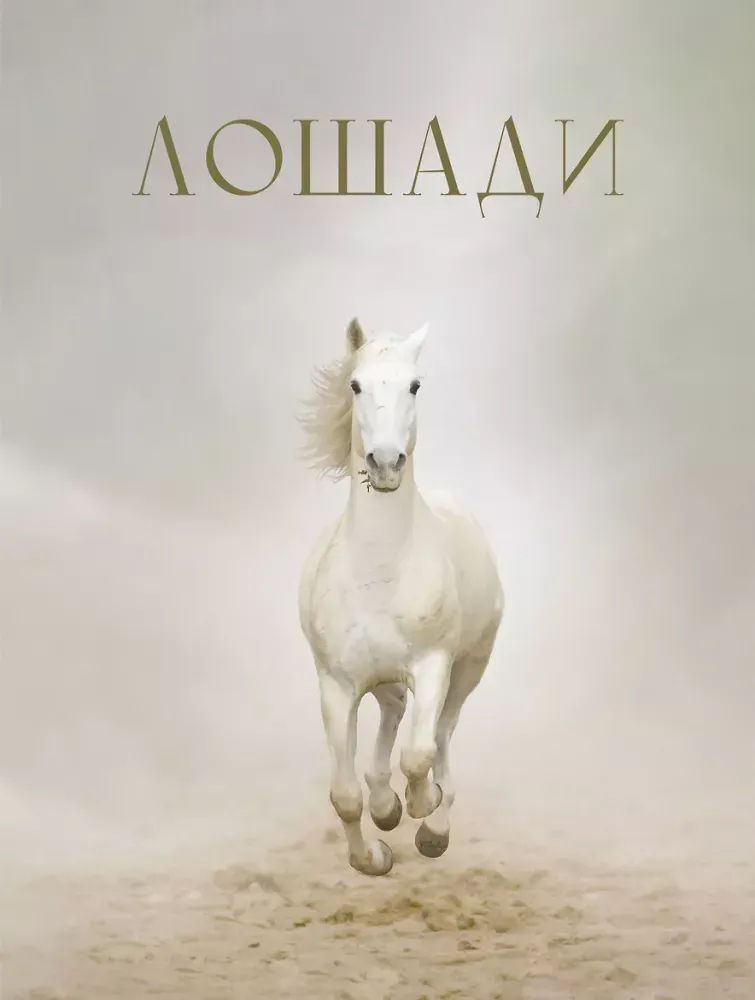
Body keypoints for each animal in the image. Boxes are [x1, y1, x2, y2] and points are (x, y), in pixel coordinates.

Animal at [297, 317, 504, 876]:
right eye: (355, 385)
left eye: (414, 385)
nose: (386, 463)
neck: (379, 570)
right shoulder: (336, 685)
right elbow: (345, 795)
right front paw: (374, 854)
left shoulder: (433, 665)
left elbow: (419, 755)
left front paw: (422, 808)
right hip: (383, 679)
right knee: (391, 715)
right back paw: (386, 805)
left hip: (469, 668)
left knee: (443, 734)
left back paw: (433, 822)